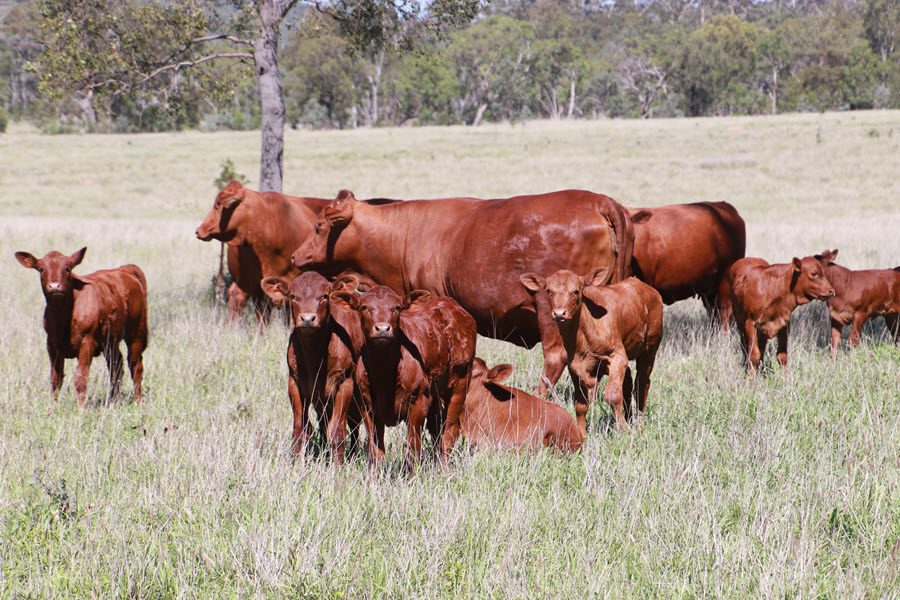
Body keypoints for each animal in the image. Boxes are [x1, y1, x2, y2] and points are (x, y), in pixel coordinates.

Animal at [15, 246, 149, 406]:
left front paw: (81, 408)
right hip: (109, 340)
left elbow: (80, 378)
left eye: (67, 268)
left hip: (136, 332)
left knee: (136, 366)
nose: (54, 286)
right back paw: (113, 400)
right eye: (41, 269)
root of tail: (125, 269)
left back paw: (138, 401)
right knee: (116, 365)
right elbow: (55, 379)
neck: (63, 318)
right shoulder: (52, 344)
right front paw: (53, 407)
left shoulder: (87, 342)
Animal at [330, 286, 478, 468]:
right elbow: (375, 448)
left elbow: (412, 446)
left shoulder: (418, 400)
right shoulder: (367, 405)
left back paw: (443, 467)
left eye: (397, 308)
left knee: (449, 429)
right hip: (435, 390)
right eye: (364, 307)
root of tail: (453, 305)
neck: (384, 372)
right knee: (436, 426)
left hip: (460, 381)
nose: (382, 328)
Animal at [520, 270, 660, 434]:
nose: (560, 313)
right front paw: (581, 432)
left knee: (642, 384)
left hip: (650, 349)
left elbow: (612, 395)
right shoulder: (574, 365)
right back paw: (629, 416)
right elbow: (581, 404)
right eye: (549, 291)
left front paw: (624, 429)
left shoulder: (617, 355)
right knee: (628, 381)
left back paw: (639, 423)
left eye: (576, 291)